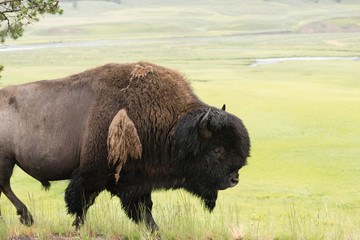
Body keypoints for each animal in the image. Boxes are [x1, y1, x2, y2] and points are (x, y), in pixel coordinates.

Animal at [0, 62, 250, 231]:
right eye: (216, 150)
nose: (234, 179)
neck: (172, 129)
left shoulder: (138, 180)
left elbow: (144, 209)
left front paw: (154, 230)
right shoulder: (94, 173)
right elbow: (82, 202)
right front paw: (78, 227)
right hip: (6, 161)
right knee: (5, 186)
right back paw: (27, 218)